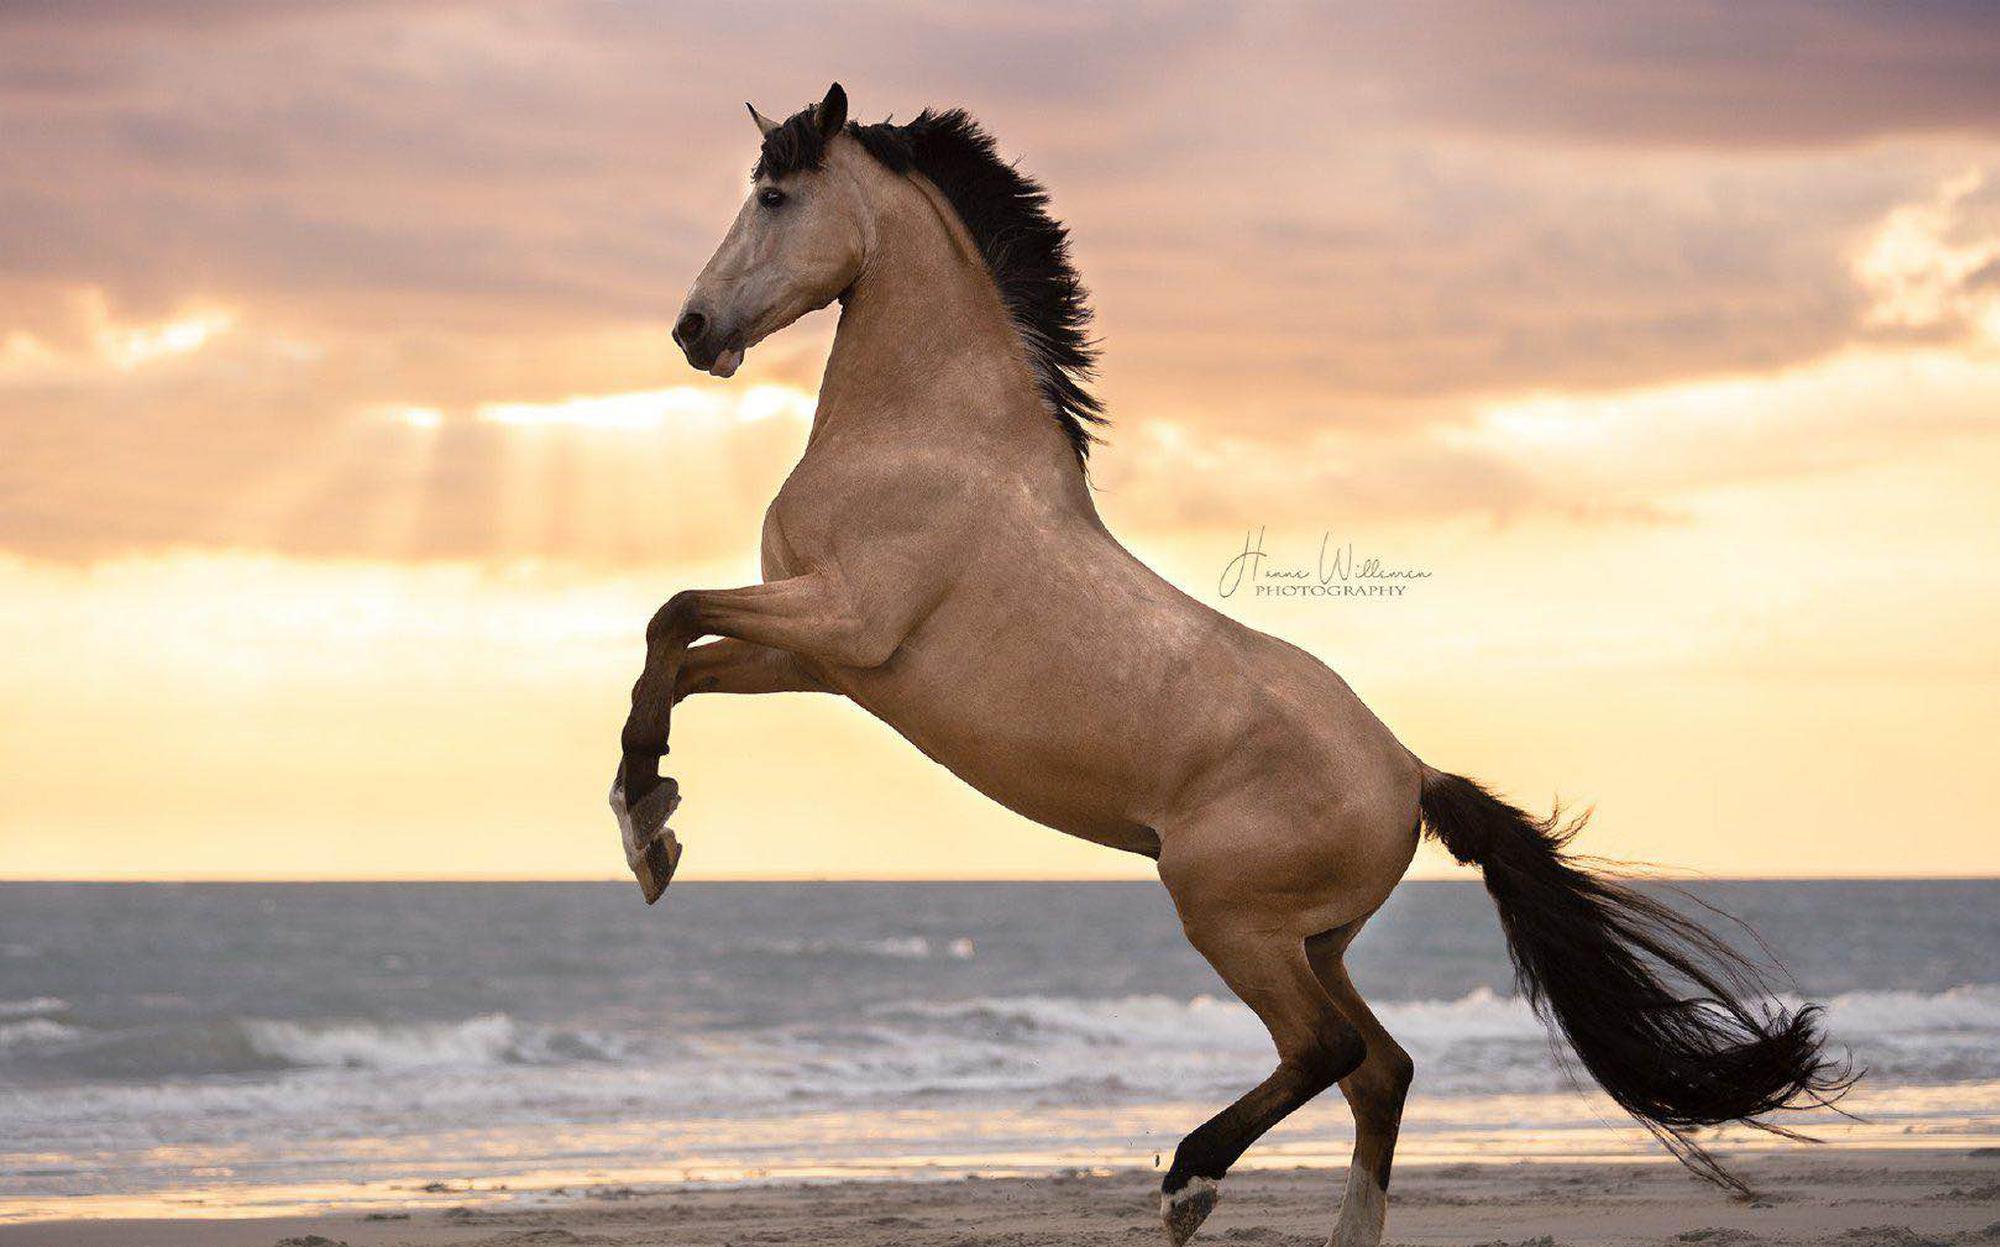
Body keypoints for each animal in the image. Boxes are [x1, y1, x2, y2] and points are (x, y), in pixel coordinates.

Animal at [613, 83, 1848, 1247]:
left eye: (776, 196)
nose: (690, 328)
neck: (927, 439)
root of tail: (1409, 772)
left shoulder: (846, 623)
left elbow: (667, 619)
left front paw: (642, 828)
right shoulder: (822, 659)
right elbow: (676, 656)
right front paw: (655, 827)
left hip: (1225, 912)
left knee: (1329, 1049)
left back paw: (1189, 1181)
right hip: (1310, 937)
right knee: (1382, 1068)